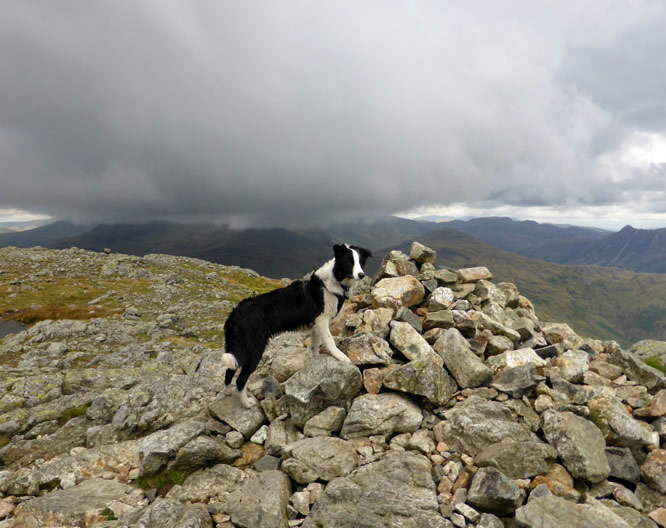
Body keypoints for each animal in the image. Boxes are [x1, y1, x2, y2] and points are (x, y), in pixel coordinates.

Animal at [222, 244, 368, 408]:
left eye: (360, 262)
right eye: (349, 262)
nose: (362, 275)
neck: (331, 283)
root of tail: (234, 314)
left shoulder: (316, 325)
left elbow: (315, 346)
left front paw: (315, 363)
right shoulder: (322, 321)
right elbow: (330, 341)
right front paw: (341, 356)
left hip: (239, 350)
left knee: (229, 370)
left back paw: (227, 392)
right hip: (254, 349)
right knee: (241, 379)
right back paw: (246, 403)